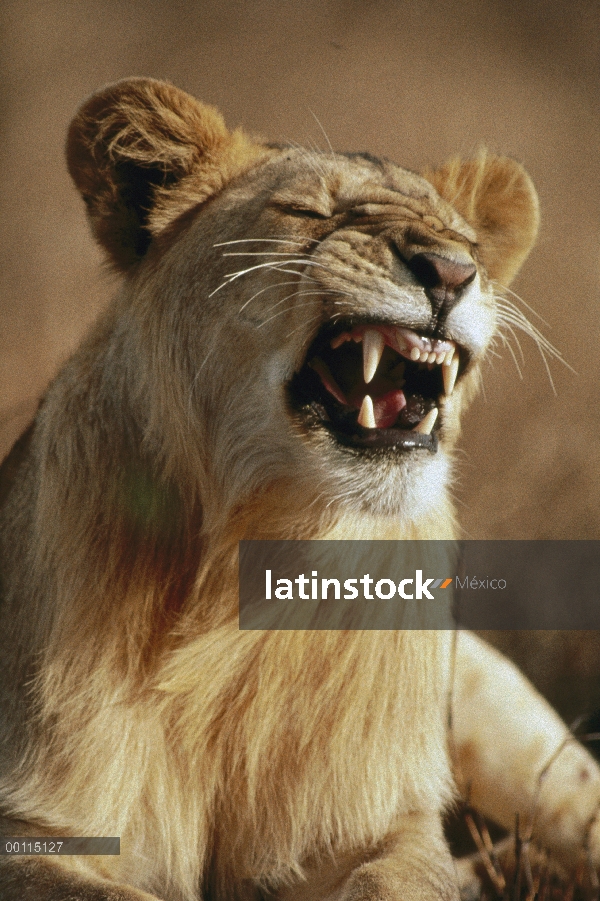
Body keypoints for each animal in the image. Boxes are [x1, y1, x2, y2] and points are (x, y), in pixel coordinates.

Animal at [1, 79, 600, 900]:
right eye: (310, 212)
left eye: (467, 243)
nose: (450, 271)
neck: (258, 554)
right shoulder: (35, 830)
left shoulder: (372, 822)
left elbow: (396, 879)